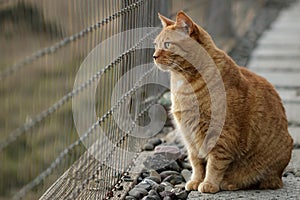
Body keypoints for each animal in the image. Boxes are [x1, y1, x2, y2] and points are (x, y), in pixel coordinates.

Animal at [154, 11, 294, 194]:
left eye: (167, 44)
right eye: (156, 45)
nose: (154, 56)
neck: (183, 83)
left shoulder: (221, 135)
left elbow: (214, 164)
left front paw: (209, 184)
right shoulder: (189, 136)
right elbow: (196, 162)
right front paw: (195, 181)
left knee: (265, 181)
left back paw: (229, 183)